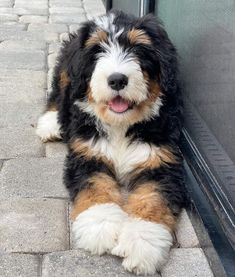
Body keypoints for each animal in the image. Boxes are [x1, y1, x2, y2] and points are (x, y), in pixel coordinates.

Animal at [36, 9, 186, 274]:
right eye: (97, 50)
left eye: (138, 49)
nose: (117, 79)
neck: (120, 125)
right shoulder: (87, 153)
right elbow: (96, 186)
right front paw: (100, 225)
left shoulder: (161, 160)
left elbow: (152, 198)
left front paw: (142, 242)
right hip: (65, 70)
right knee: (58, 93)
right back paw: (51, 123)